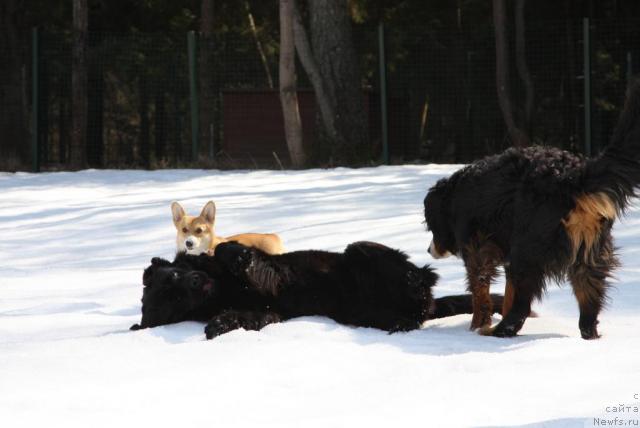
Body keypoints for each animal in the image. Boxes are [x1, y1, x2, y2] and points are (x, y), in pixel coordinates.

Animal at [131, 241, 504, 338]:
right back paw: (403, 322)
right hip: (358, 314)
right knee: (415, 312)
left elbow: (229, 251)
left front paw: (237, 256)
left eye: (175, 276)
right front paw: (220, 324)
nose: (195, 281)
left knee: (422, 279)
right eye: (176, 298)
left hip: (360, 250)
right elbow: (245, 315)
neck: (223, 290)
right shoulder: (268, 311)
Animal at [424, 78, 640, 340]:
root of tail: (571, 178)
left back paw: (498, 330)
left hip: (529, 251)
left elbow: (480, 290)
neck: (453, 197)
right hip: (589, 249)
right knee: (588, 299)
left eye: (431, 228)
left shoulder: (477, 248)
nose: (428, 250)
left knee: (521, 306)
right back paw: (589, 335)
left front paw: (476, 324)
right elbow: (505, 291)